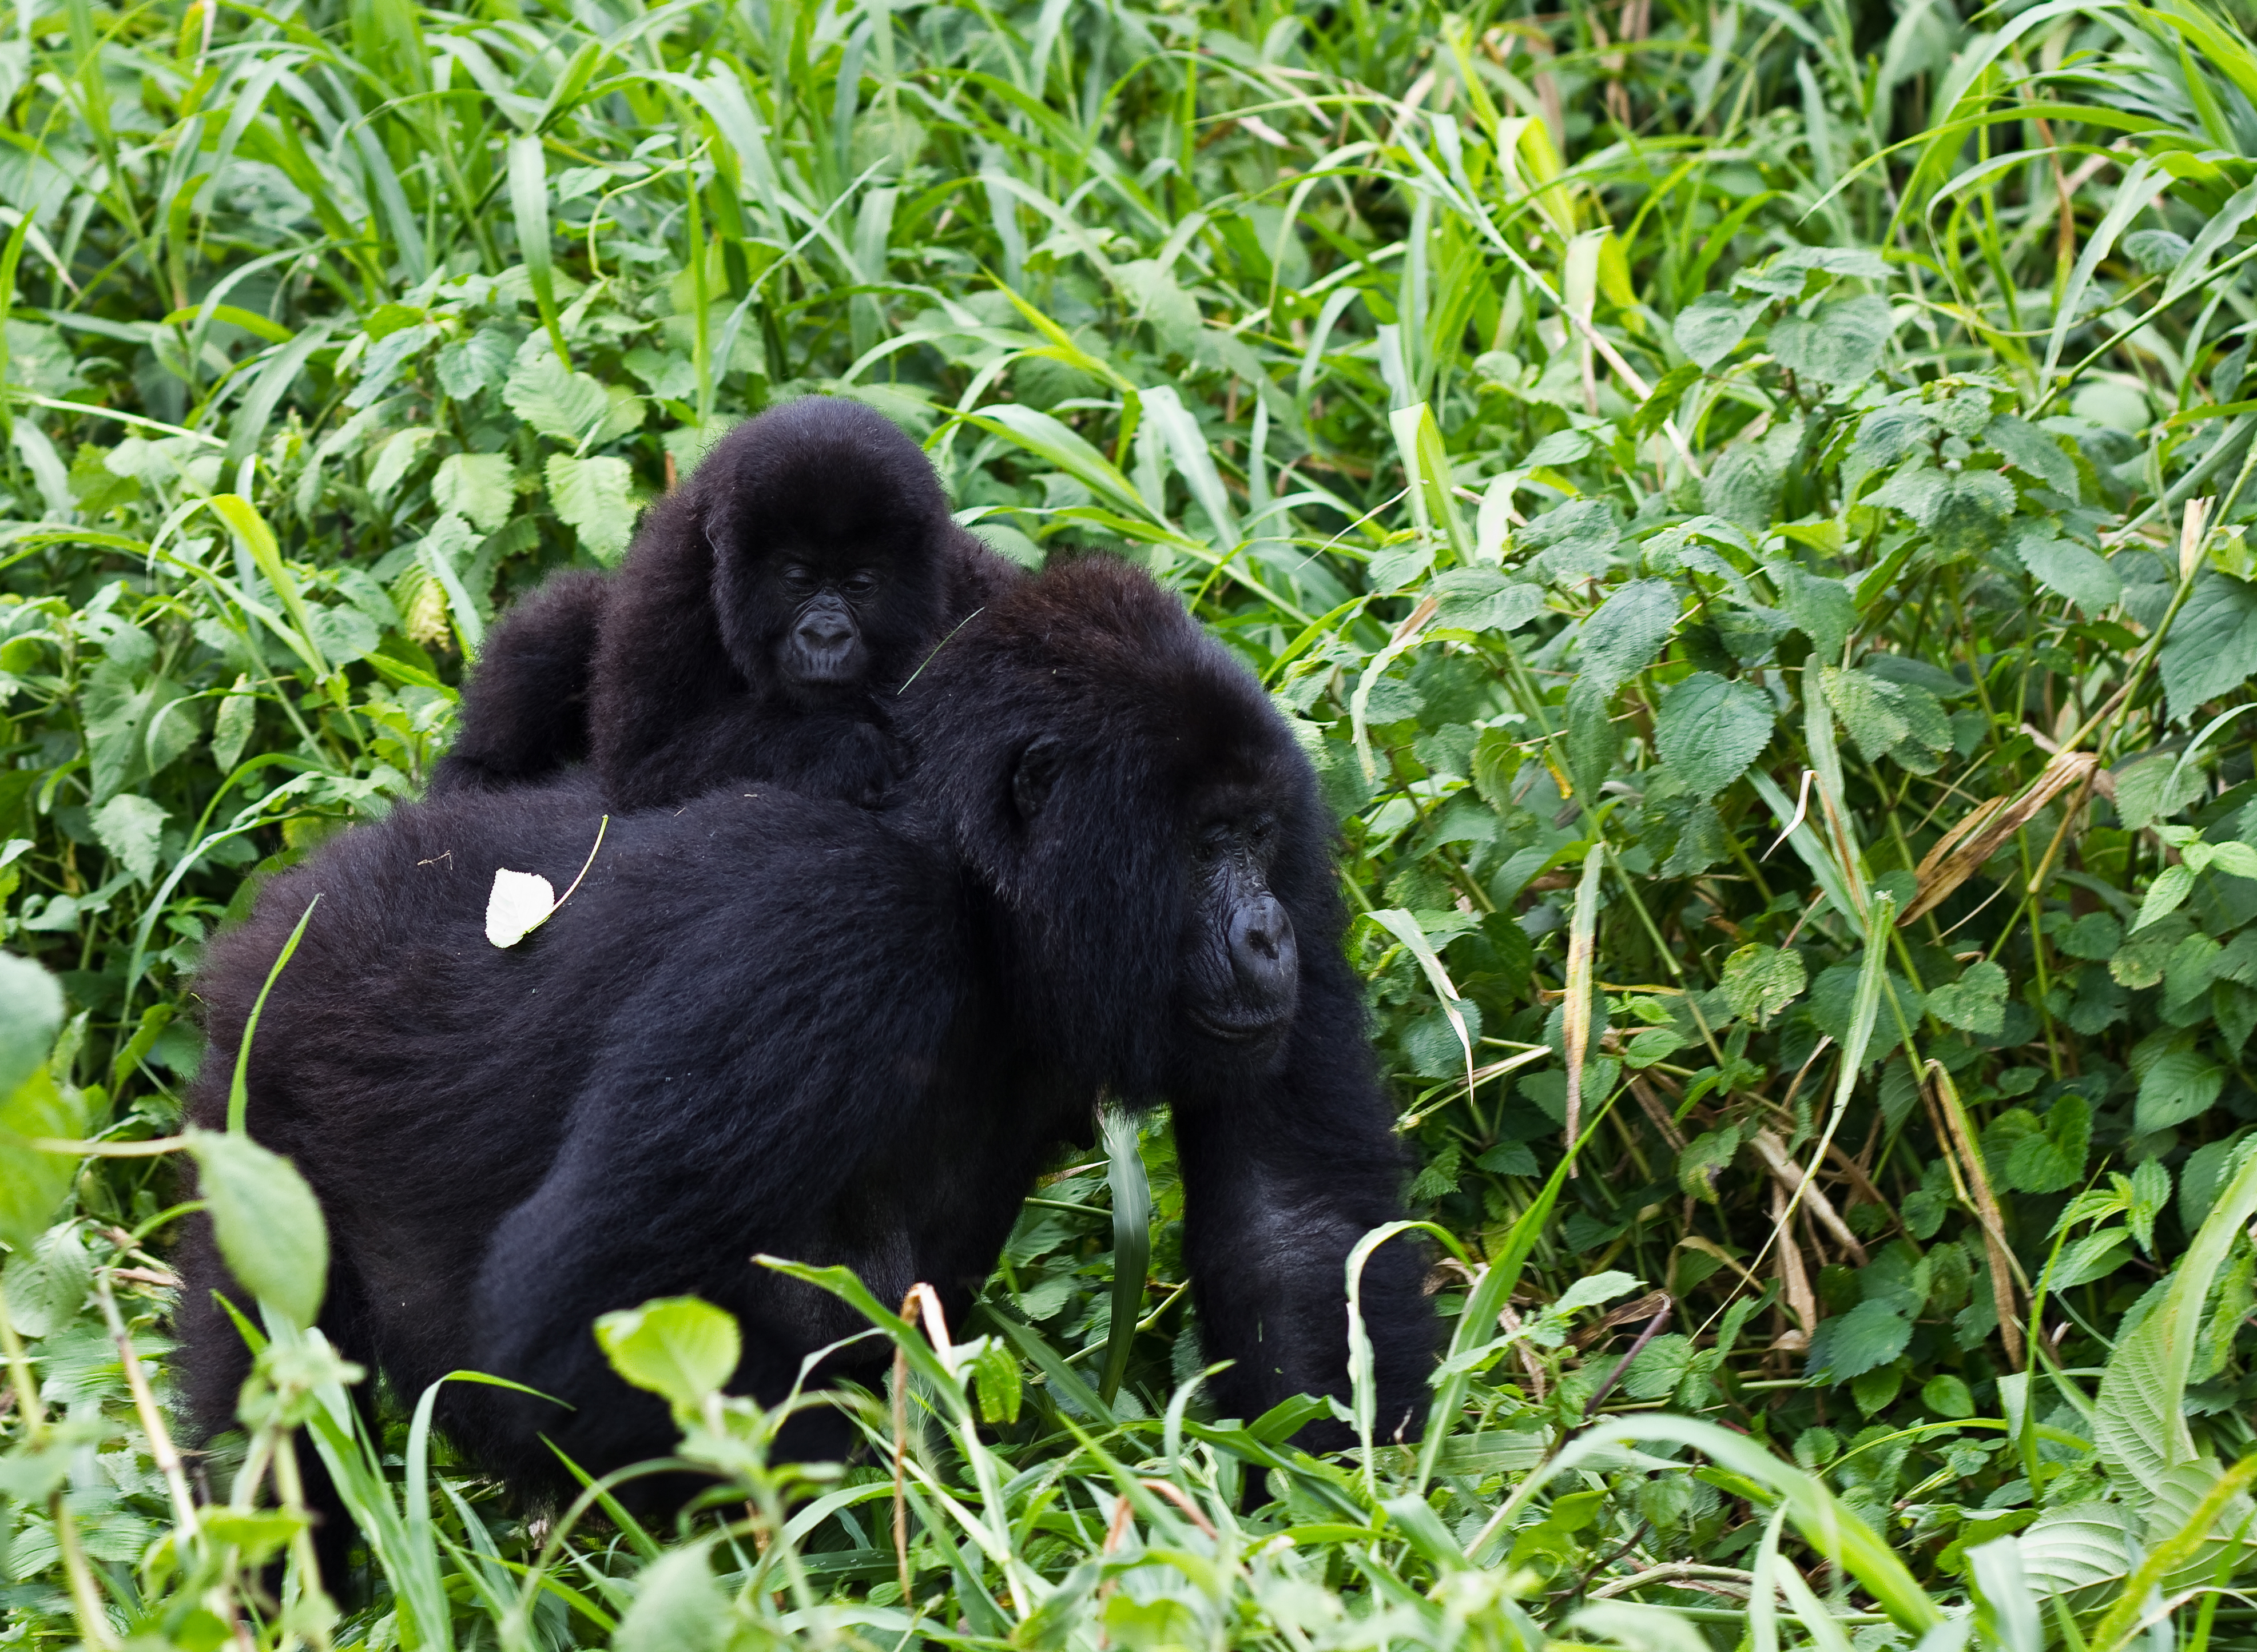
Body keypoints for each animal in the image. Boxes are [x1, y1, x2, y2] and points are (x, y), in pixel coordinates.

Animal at [185, 557, 1435, 1525]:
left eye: (1258, 837)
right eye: (1206, 842)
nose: (1270, 934)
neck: (978, 889)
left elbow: (1296, 1221)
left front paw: (1343, 1528)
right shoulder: (835, 927)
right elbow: (571, 1319)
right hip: (260, 1095)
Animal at [431, 399, 1015, 812]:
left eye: (860, 584)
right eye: (798, 579)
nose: (826, 635)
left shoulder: (974, 586)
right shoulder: (671, 584)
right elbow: (644, 768)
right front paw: (840, 749)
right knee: (567, 613)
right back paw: (476, 772)